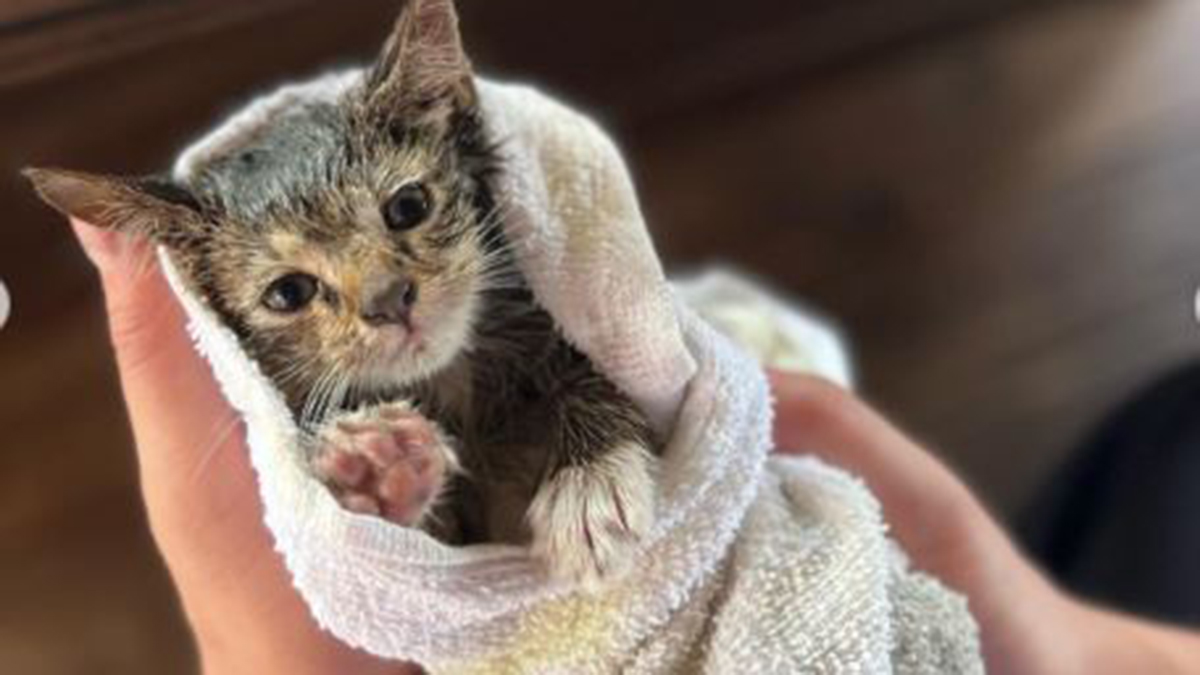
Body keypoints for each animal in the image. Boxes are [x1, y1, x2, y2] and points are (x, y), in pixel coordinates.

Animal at [25, 0, 657, 581]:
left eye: (409, 206)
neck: (452, 383)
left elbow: (597, 371)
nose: (388, 299)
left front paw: (589, 481)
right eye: (288, 293)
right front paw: (380, 471)